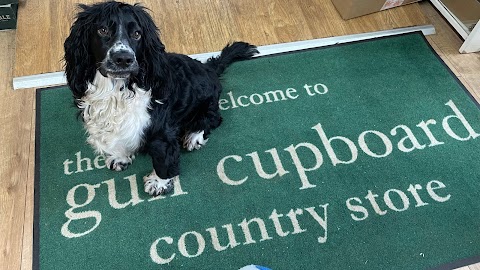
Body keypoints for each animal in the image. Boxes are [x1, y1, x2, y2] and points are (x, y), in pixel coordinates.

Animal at [64, 2, 258, 196]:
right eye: (102, 30)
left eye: (137, 34)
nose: (123, 59)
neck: (118, 91)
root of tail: (208, 68)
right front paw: (119, 157)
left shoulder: (162, 133)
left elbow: (163, 161)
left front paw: (159, 183)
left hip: (207, 103)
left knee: (213, 119)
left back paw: (194, 136)